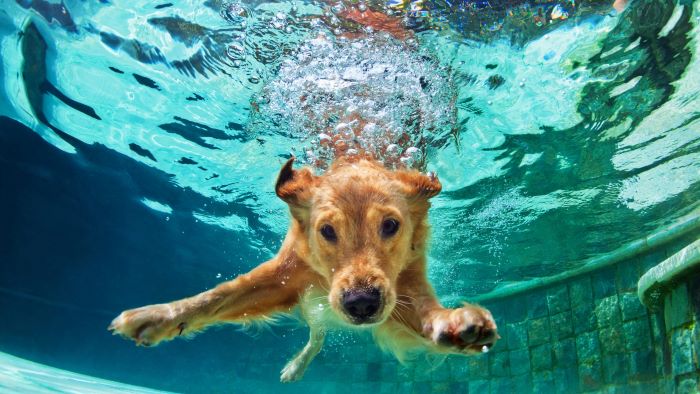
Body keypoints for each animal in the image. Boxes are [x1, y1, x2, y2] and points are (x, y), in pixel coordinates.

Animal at [108, 156, 498, 382]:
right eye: (327, 231)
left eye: (390, 225)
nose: (361, 303)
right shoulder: (284, 275)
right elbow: (218, 296)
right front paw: (158, 316)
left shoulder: (405, 285)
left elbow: (427, 312)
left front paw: (456, 325)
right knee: (317, 334)